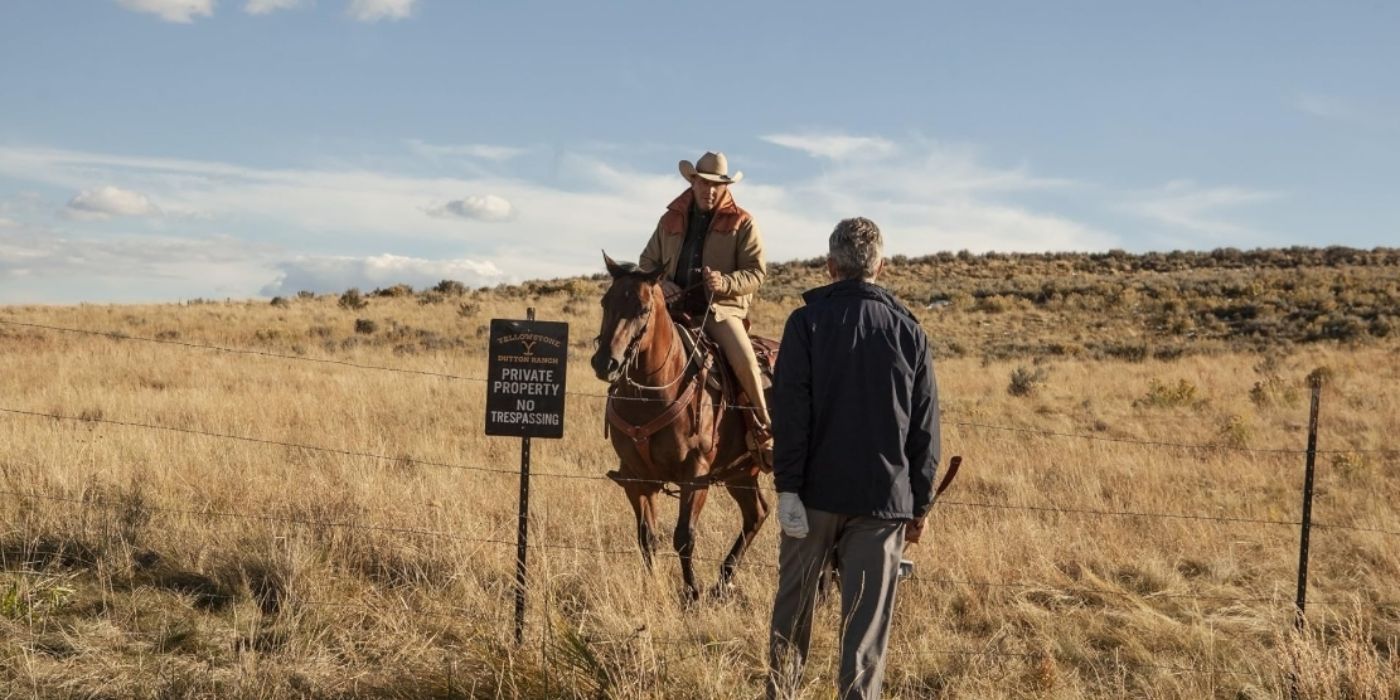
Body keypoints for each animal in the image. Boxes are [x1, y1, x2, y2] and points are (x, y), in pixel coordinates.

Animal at [588, 254, 772, 599]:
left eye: (643, 309)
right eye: (606, 302)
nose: (606, 362)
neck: (652, 394)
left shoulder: (695, 475)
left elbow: (684, 536)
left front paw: (692, 592)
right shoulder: (637, 479)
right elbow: (647, 538)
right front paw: (652, 587)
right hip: (741, 472)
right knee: (756, 514)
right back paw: (723, 580)